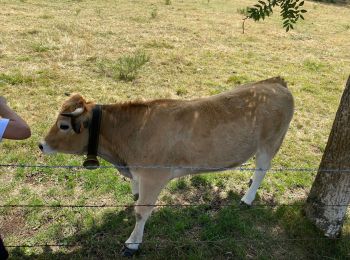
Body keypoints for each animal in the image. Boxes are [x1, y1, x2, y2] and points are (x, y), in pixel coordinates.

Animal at [39, 76, 294, 256]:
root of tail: (275, 82)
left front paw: (132, 244)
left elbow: (141, 211)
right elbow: (137, 195)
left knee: (262, 170)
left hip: (270, 144)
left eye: (63, 126)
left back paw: (247, 198)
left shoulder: (154, 177)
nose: (41, 144)